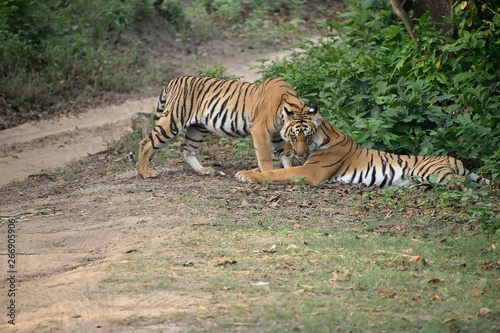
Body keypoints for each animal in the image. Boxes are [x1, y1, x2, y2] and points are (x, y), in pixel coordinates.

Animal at [138, 76, 316, 178]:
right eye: (294, 136)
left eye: (308, 137)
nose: (302, 154)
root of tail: (175, 80)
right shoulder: (259, 129)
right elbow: (265, 156)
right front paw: (268, 173)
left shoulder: (278, 135)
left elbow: (284, 155)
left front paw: (288, 170)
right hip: (173, 120)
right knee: (146, 142)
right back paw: (145, 173)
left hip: (198, 128)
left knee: (186, 149)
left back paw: (202, 170)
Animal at [236, 109, 490, 187]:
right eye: (291, 136)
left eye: (306, 137)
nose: (296, 153)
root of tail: (455, 160)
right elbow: (275, 166)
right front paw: (243, 172)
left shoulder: (310, 171)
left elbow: (276, 173)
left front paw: (249, 177)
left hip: (433, 173)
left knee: (462, 183)